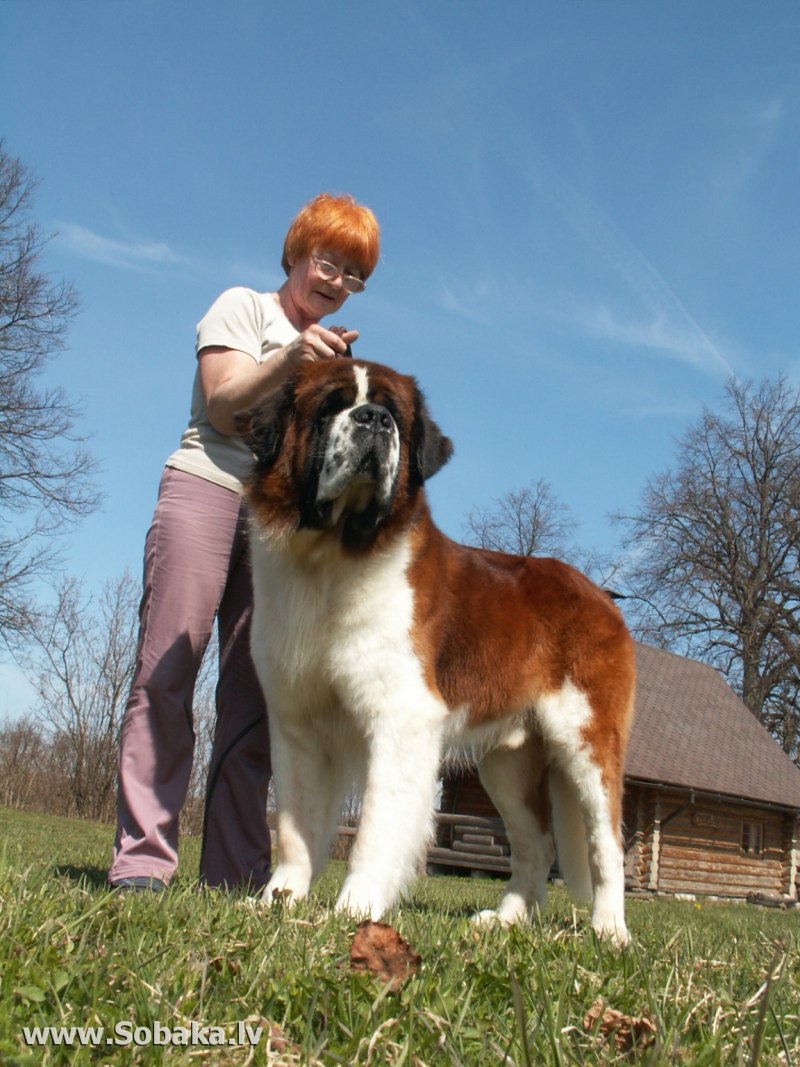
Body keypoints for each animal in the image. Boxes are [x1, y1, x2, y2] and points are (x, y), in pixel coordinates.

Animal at [237, 356, 640, 943]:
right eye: (332, 406)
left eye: (395, 414)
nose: (374, 420)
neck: (332, 559)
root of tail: (599, 595)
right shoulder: (296, 723)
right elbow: (293, 823)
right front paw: (279, 900)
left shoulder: (400, 721)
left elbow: (376, 826)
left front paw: (354, 910)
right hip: (507, 763)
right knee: (536, 843)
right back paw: (506, 918)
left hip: (586, 741)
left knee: (605, 842)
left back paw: (610, 932)